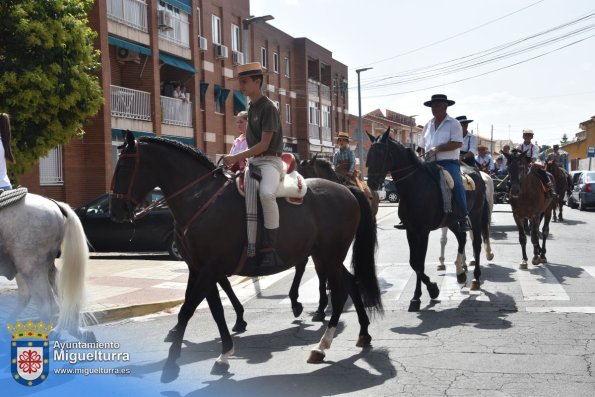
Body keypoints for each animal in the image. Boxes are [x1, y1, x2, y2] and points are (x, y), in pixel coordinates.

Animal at [110, 132, 384, 368]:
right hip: (326, 255)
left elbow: (188, 309)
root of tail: (347, 190)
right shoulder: (198, 268)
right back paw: (363, 333)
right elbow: (212, 309)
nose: (115, 213)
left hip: (330, 254)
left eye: (124, 166)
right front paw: (224, 351)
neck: (201, 199)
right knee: (350, 283)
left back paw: (321, 345)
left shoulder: (210, 268)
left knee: (339, 293)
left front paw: (172, 362)